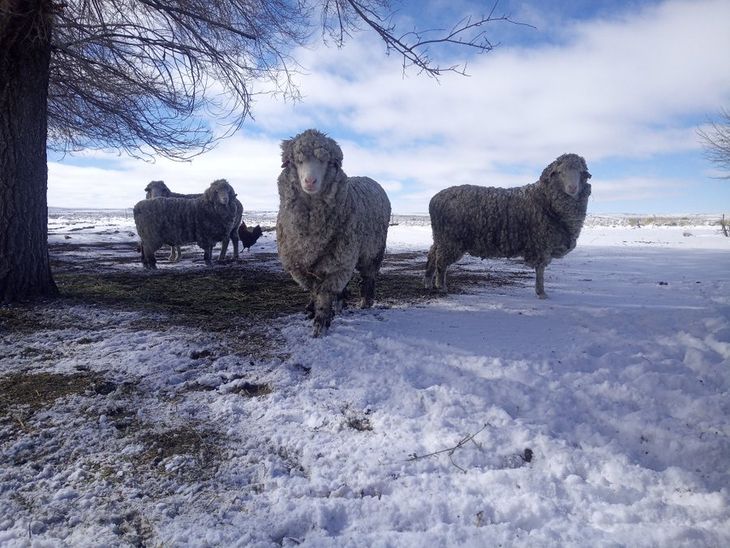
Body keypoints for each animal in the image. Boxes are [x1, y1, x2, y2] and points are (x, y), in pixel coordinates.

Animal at [276, 129, 391, 337]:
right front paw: (313, 310)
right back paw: (339, 304)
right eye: (296, 161)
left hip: (372, 251)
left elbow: (325, 292)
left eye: (327, 162)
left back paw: (365, 301)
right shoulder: (299, 266)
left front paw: (321, 323)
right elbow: (314, 290)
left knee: (369, 276)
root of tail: (368, 178)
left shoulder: (339, 264)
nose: (310, 181)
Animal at [424, 153, 592, 299]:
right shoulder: (541, 243)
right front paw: (541, 293)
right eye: (560, 172)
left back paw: (428, 283)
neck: (545, 198)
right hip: (450, 240)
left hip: (440, 237)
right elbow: (540, 270)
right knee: (441, 262)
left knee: (432, 254)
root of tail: (435, 199)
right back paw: (441, 286)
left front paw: (541, 292)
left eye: (580, 172)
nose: (572, 188)